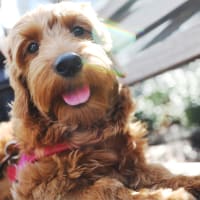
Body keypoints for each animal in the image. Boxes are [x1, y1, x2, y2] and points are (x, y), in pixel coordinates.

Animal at [1, 1, 200, 200]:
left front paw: (189, 181)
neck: (86, 130)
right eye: (32, 47)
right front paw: (166, 195)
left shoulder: (134, 164)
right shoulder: (41, 187)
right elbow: (108, 187)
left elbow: (159, 172)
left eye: (78, 30)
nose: (68, 63)